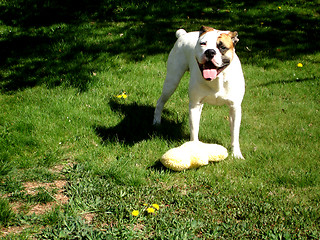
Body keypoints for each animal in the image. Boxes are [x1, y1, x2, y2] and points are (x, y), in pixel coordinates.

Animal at [154, 26, 246, 158]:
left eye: (222, 47)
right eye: (203, 43)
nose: (210, 52)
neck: (217, 79)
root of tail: (183, 34)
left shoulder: (235, 108)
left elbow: (235, 133)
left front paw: (236, 154)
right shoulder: (194, 106)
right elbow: (194, 129)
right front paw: (194, 148)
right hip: (172, 82)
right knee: (160, 102)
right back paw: (156, 122)